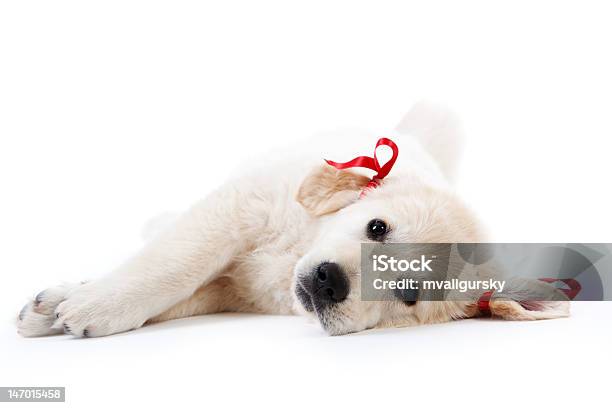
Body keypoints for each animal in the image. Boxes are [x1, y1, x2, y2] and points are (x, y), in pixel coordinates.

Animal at [15, 103, 568, 338]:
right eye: (377, 228)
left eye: (409, 293)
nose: (329, 282)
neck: (291, 255)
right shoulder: (242, 206)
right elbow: (176, 261)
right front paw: (89, 300)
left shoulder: (238, 290)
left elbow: (186, 293)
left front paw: (75, 307)